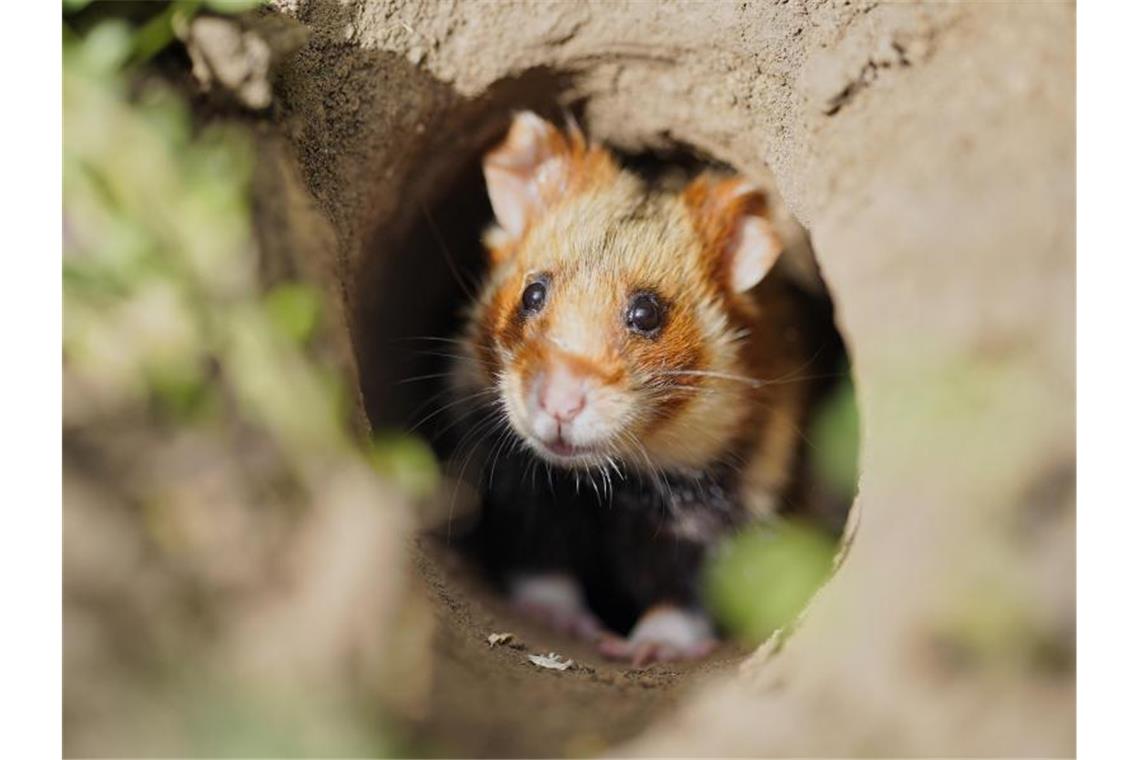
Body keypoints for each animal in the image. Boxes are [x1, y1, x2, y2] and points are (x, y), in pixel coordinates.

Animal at [449, 111, 834, 665]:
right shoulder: (526, 486)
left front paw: (644, 649)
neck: (607, 482)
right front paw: (560, 623)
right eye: (532, 293)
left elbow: (682, 592)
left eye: (647, 313)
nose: (558, 405)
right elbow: (543, 560)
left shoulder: (714, 514)